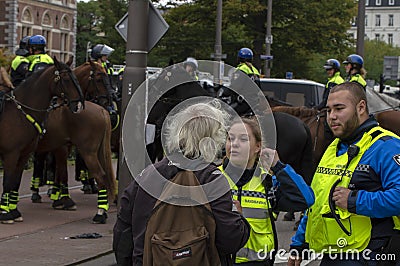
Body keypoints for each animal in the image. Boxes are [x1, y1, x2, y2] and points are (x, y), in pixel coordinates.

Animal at [0, 57, 83, 223]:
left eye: (76, 78)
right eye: (66, 79)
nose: (78, 105)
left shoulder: (24, 155)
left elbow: (15, 182)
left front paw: (14, 211)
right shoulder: (11, 154)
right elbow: (7, 181)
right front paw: (5, 214)